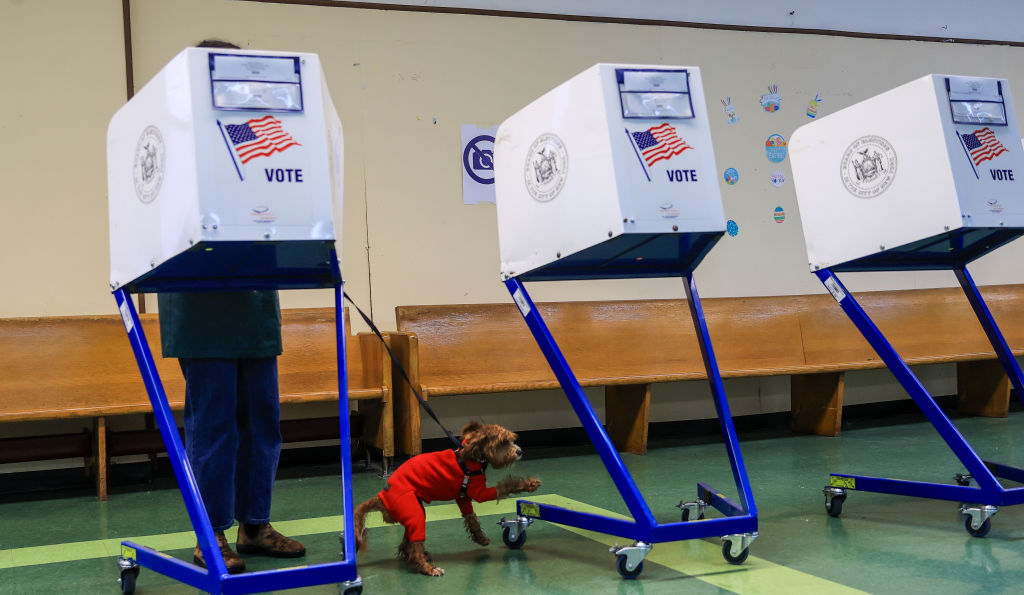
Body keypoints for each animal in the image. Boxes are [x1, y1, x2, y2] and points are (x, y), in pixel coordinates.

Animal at [354, 419, 544, 573]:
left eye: (512, 440)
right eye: (503, 442)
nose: (519, 452)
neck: (471, 456)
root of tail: (381, 496)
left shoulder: (463, 498)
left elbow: (472, 518)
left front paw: (480, 538)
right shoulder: (480, 493)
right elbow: (506, 486)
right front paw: (530, 484)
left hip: (413, 511)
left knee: (406, 544)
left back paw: (417, 556)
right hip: (414, 512)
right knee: (415, 543)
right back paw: (427, 568)